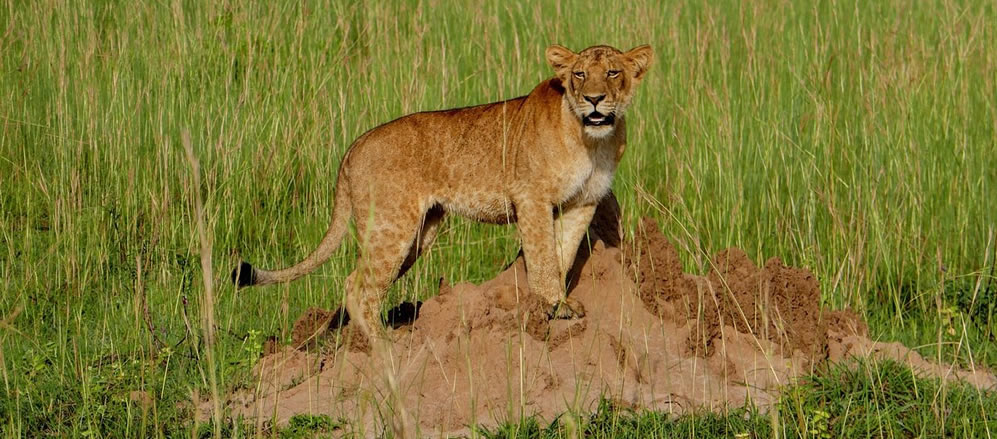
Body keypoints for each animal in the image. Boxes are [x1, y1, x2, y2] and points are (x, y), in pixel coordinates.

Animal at [233, 44, 652, 336]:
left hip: (421, 232)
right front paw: (552, 305)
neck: (593, 141)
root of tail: (355, 145)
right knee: (357, 286)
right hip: (391, 226)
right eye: (579, 75)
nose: (594, 99)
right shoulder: (531, 197)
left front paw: (559, 304)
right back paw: (386, 346)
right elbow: (543, 257)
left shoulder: (584, 202)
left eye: (612, 72)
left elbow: (563, 254)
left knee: (362, 284)